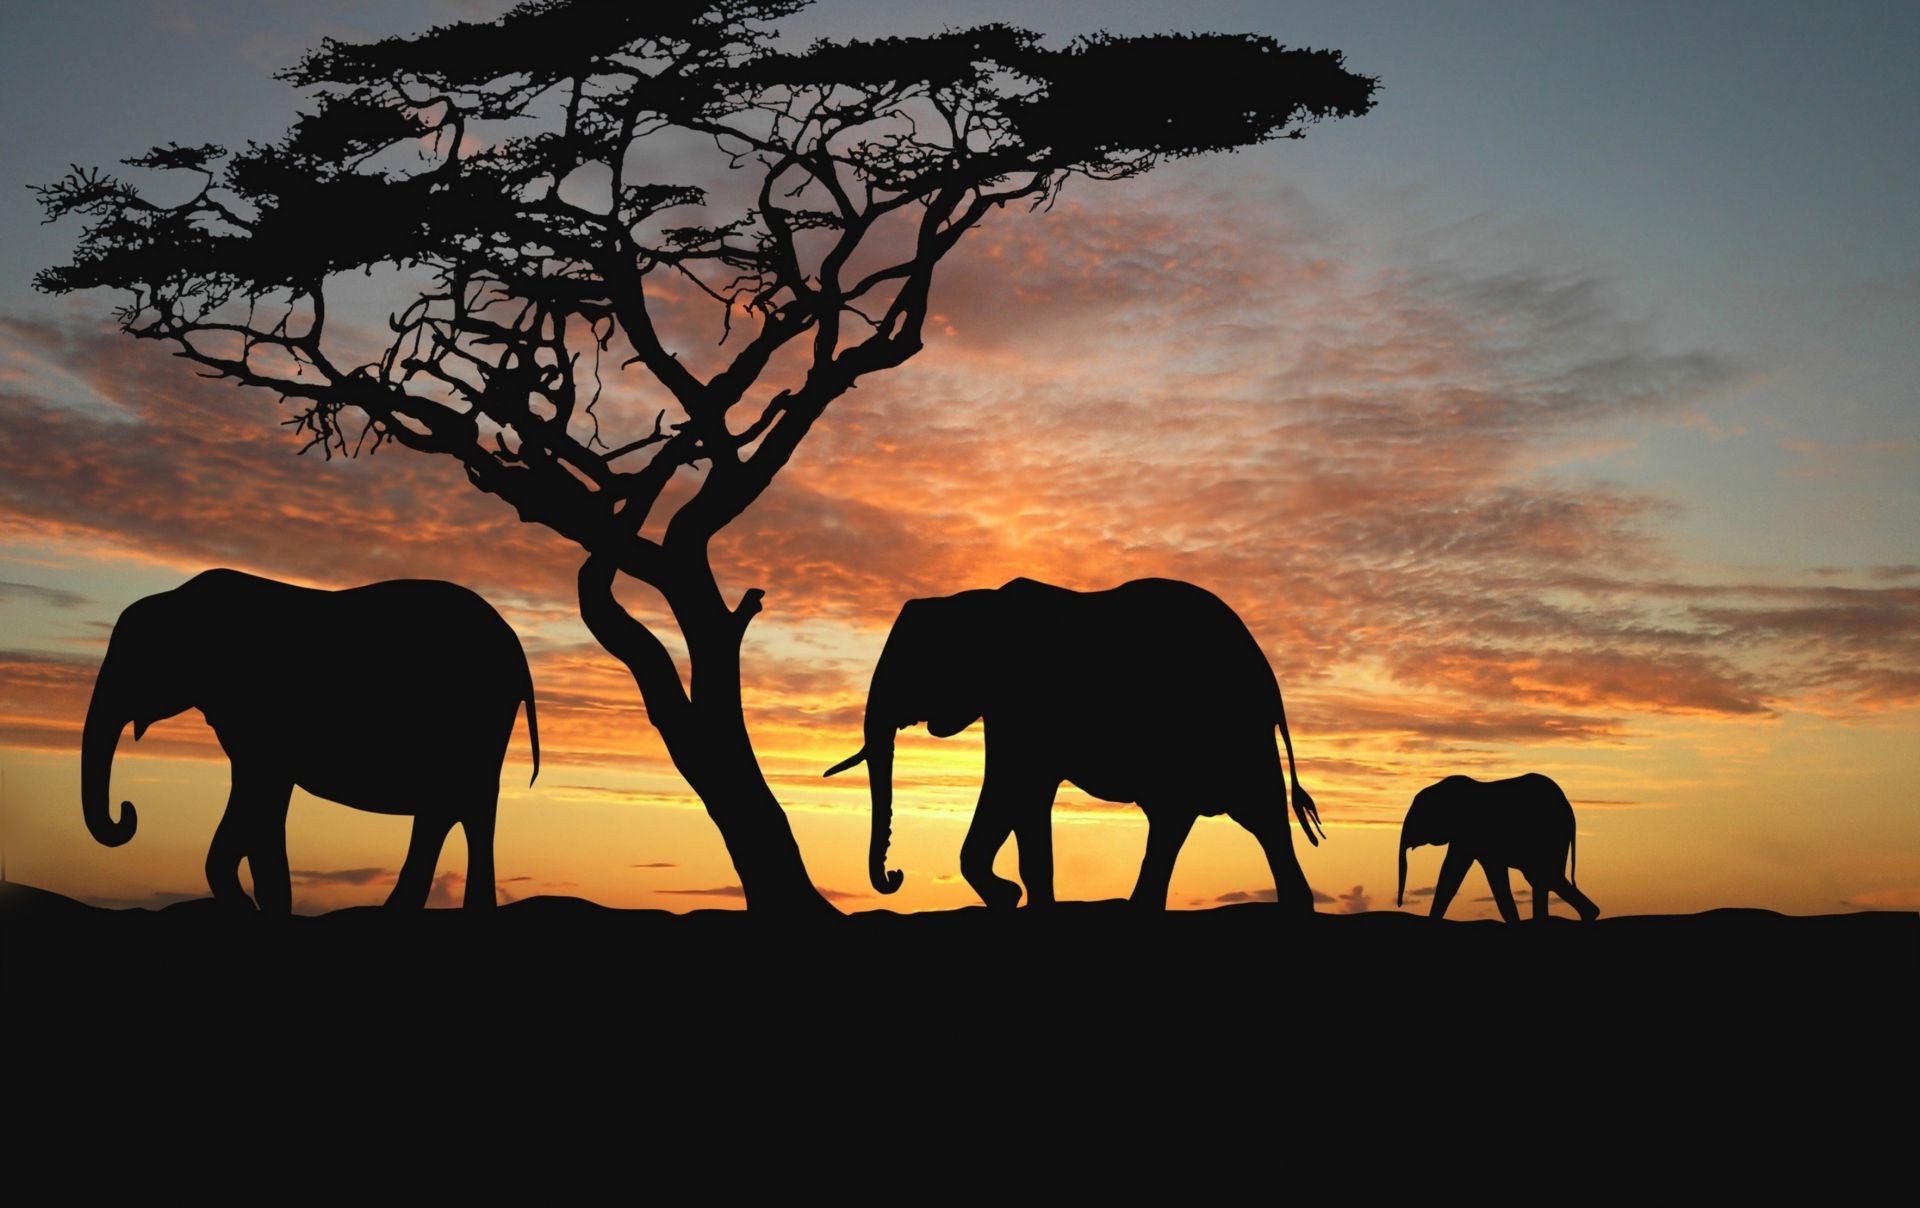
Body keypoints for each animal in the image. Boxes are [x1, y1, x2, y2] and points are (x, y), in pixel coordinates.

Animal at [78, 568, 537, 910]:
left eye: (135, 662)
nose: (127, 812)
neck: (180, 599)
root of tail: (516, 648)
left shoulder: (260, 716)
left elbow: (260, 795)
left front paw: (258, 906)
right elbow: (256, 802)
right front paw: (252, 903)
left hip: (475, 718)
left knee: (463, 806)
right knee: (452, 809)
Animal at [825, 576, 1320, 906]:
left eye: (910, 668)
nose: (895, 875)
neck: (976, 601)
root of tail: (1269, 679)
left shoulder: (1024, 704)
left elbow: (1014, 787)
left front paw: (1011, 895)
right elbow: (1018, 799)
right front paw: (1013, 897)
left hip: (1232, 732)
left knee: (1251, 816)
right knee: (1198, 819)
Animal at [1405, 772, 1597, 921]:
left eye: (1418, 814)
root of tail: (1570, 810)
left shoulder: (1469, 834)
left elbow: (1453, 872)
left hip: (1551, 838)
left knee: (1546, 877)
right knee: (1544, 879)